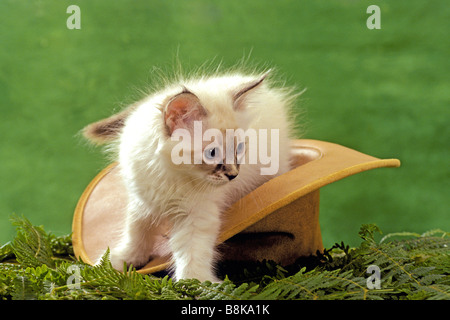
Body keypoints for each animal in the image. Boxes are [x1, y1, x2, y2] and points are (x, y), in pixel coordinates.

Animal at [83, 68, 298, 282]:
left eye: (239, 148)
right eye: (212, 153)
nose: (234, 175)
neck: (171, 175)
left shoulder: (196, 214)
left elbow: (191, 251)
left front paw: (195, 281)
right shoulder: (142, 201)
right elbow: (137, 231)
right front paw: (122, 259)